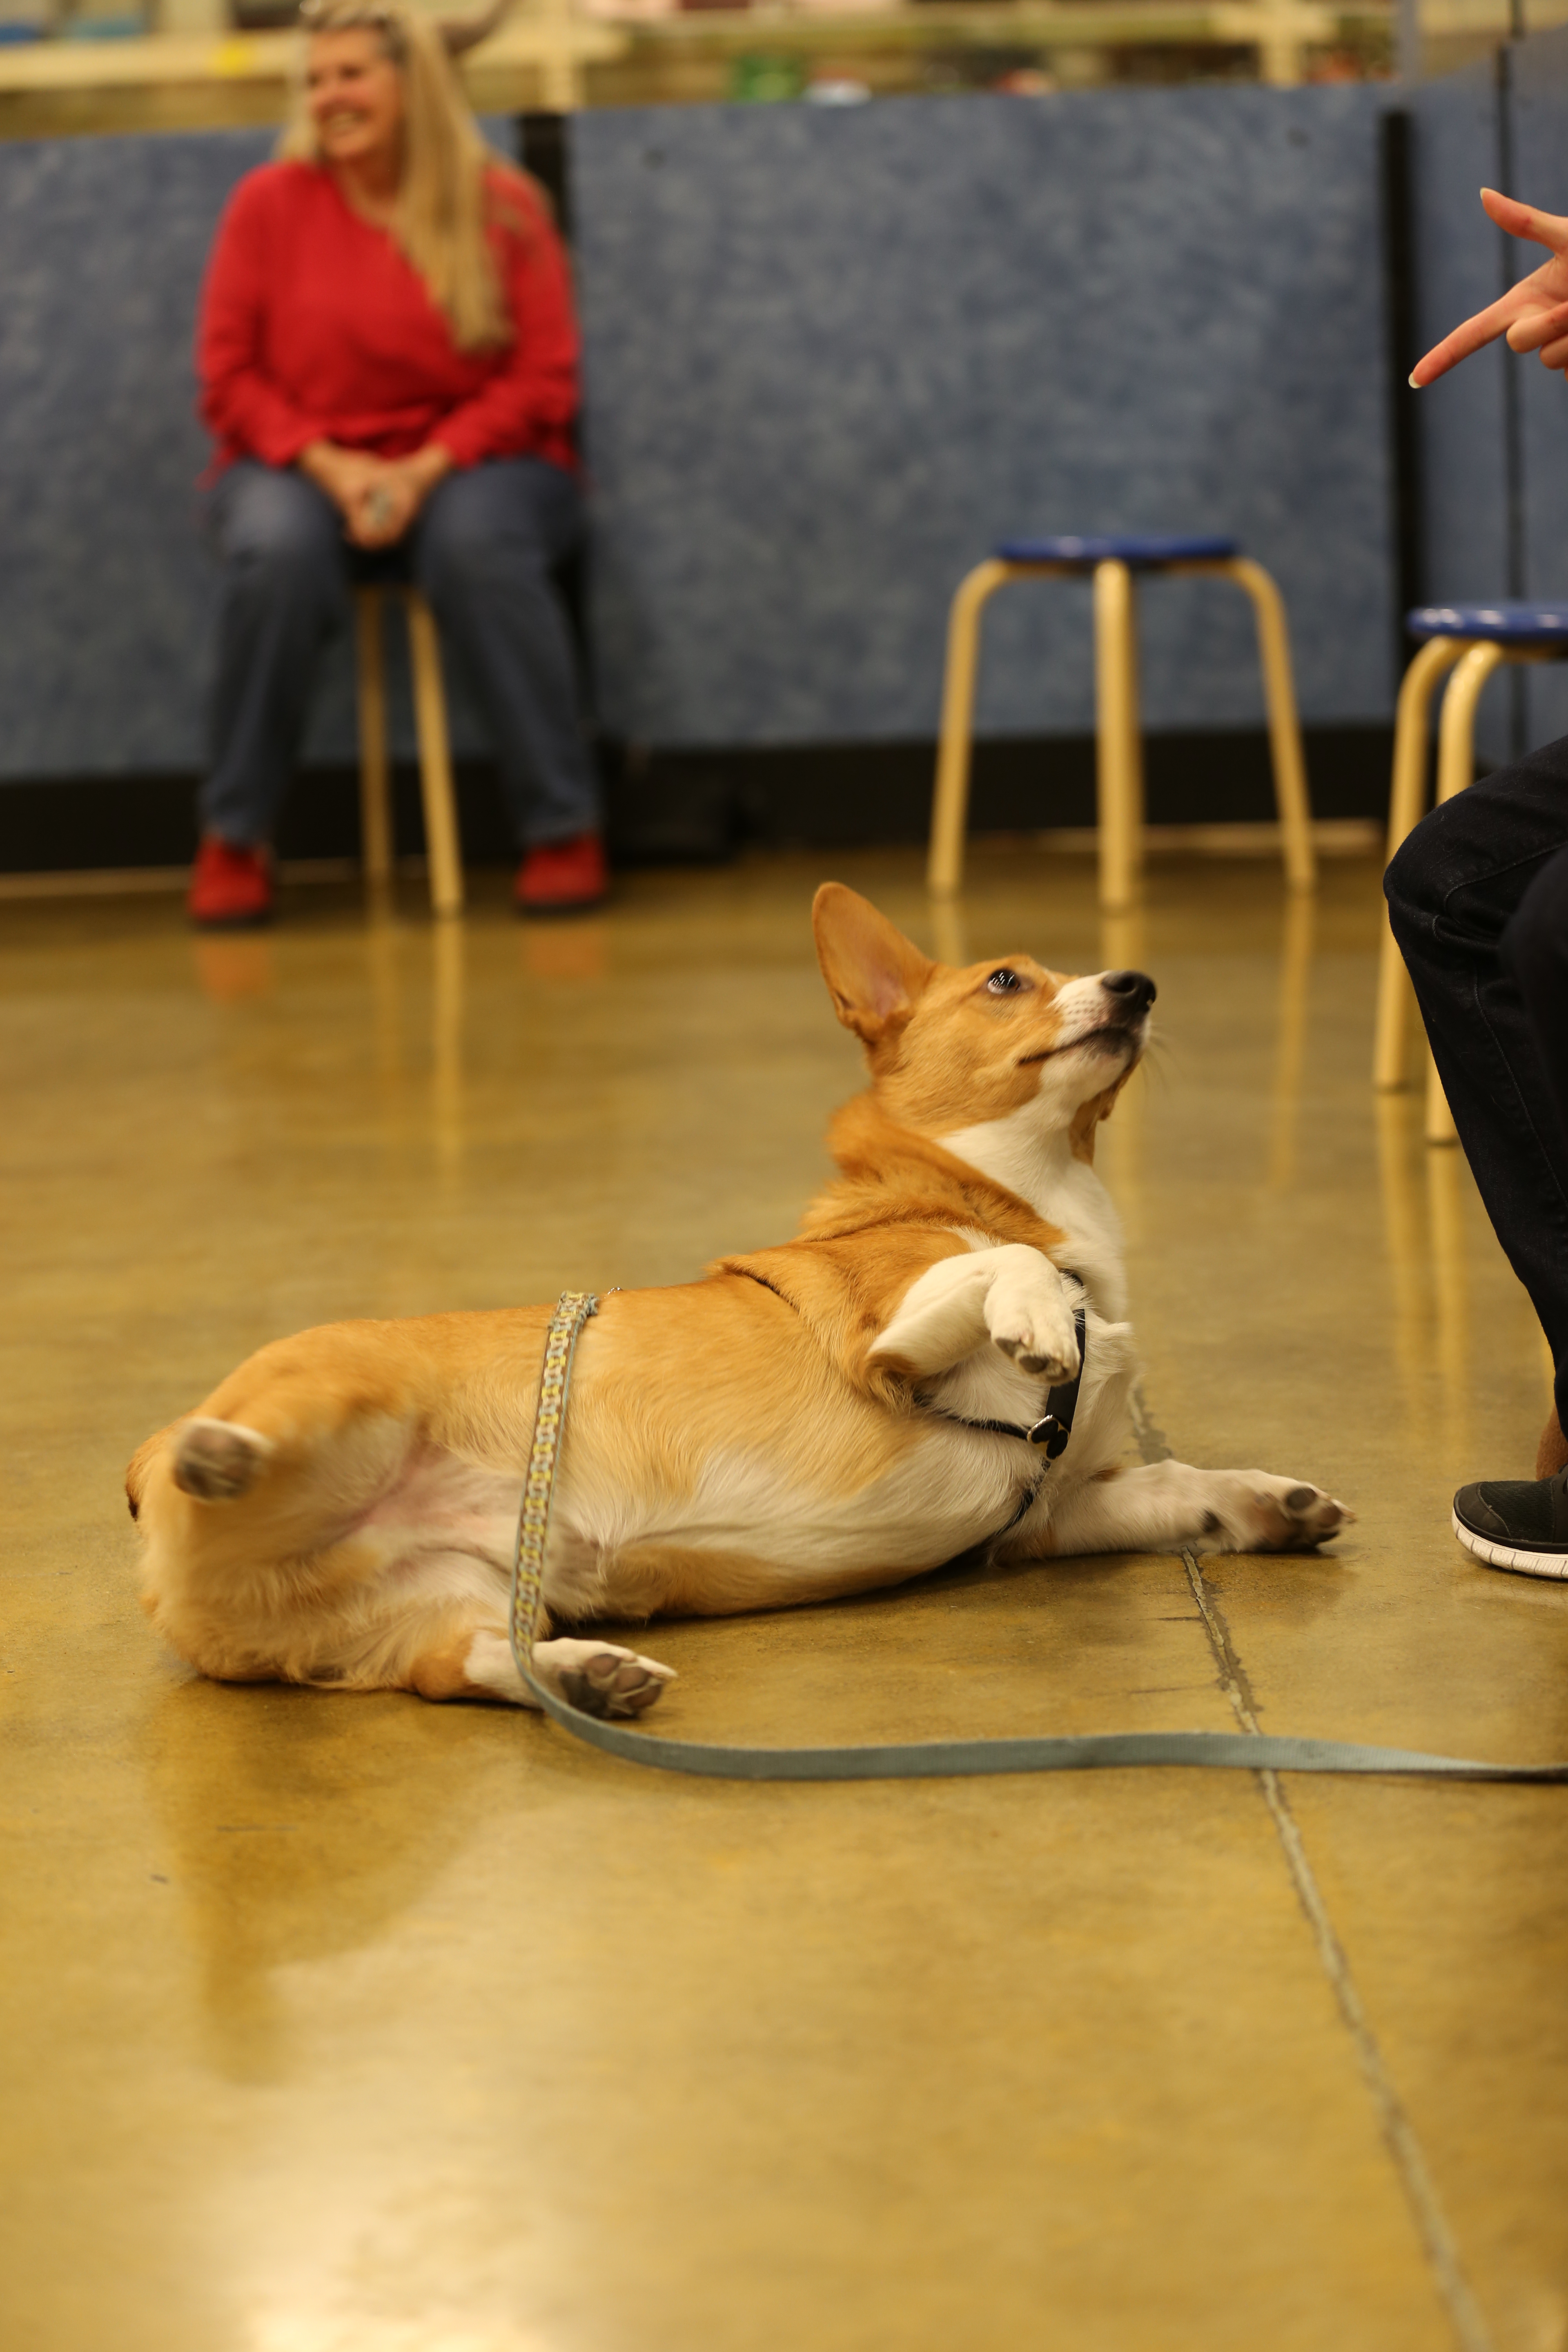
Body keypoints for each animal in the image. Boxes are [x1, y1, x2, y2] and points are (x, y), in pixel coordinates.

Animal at [127, 882, 1350, 1721]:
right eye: (1007, 980)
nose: (1138, 985)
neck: (1005, 1187)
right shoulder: (883, 1347)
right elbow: (1005, 1265)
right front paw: (1041, 1314)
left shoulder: (1051, 1514)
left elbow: (1174, 1486)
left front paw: (1265, 1502)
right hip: (351, 1392)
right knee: (258, 1437)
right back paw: (218, 1449)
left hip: (439, 1599)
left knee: (466, 1664)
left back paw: (587, 1673)